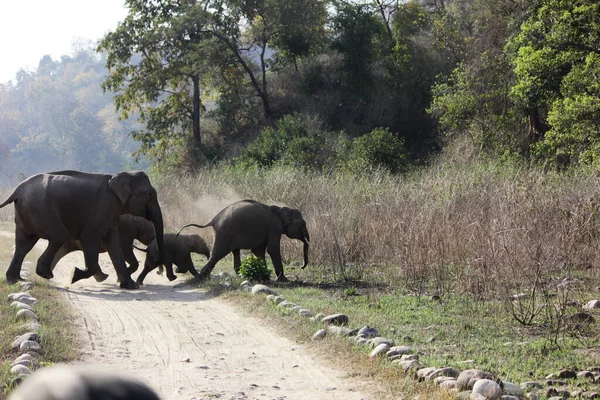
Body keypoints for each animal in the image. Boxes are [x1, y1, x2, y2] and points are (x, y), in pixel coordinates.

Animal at [0, 169, 164, 288]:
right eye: (150, 195)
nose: (160, 273)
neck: (120, 175)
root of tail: (16, 191)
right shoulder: (104, 206)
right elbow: (90, 236)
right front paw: (75, 275)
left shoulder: (111, 213)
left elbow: (113, 242)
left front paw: (131, 287)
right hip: (41, 209)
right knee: (59, 236)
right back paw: (46, 274)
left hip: (25, 213)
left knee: (24, 244)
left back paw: (16, 280)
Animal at [177, 199, 310, 282]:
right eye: (303, 224)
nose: (302, 267)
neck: (282, 209)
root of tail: (214, 219)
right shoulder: (275, 227)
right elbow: (272, 249)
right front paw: (283, 280)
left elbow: (259, 251)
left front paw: (264, 276)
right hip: (224, 233)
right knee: (218, 254)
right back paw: (202, 278)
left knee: (234, 251)